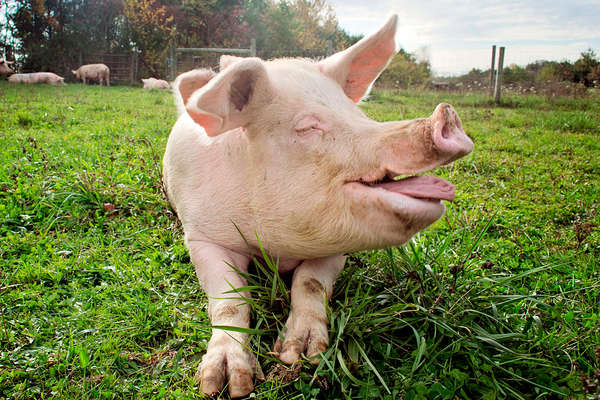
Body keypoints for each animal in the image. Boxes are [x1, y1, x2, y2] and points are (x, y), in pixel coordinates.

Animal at [162, 15, 473, 398]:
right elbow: (229, 300)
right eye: (308, 127)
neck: (278, 249)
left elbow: (310, 282)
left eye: (357, 114)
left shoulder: (338, 243)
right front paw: (226, 385)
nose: (447, 116)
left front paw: (301, 356)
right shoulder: (203, 236)